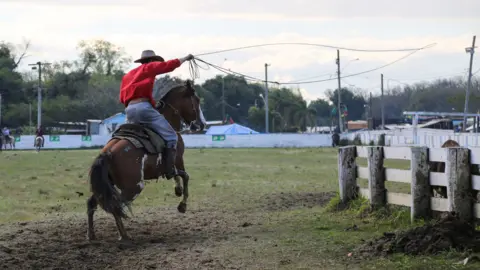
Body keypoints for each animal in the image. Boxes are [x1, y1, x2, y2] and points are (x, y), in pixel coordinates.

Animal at [87, 80, 205, 240]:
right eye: (196, 100)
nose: (201, 124)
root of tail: (107, 153)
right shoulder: (178, 160)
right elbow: (185, 176)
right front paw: (182, 205)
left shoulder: (172, 165)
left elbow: (177, 176)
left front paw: (178, 190)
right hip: (134, 187)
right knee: (116, 206)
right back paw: (124, 235)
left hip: (107, 187)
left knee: (92, 203)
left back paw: (91, 235)